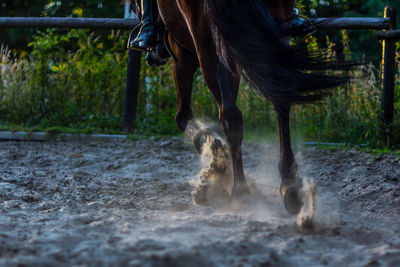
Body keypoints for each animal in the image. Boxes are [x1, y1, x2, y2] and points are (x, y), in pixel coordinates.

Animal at [131, 0, 350, 215]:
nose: (153, 55)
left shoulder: (183, 55)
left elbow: (183, 117)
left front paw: (213, 157)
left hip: (206, 42)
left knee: (228, 116)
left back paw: (239, 189)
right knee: (280, 96)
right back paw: (289, 187)